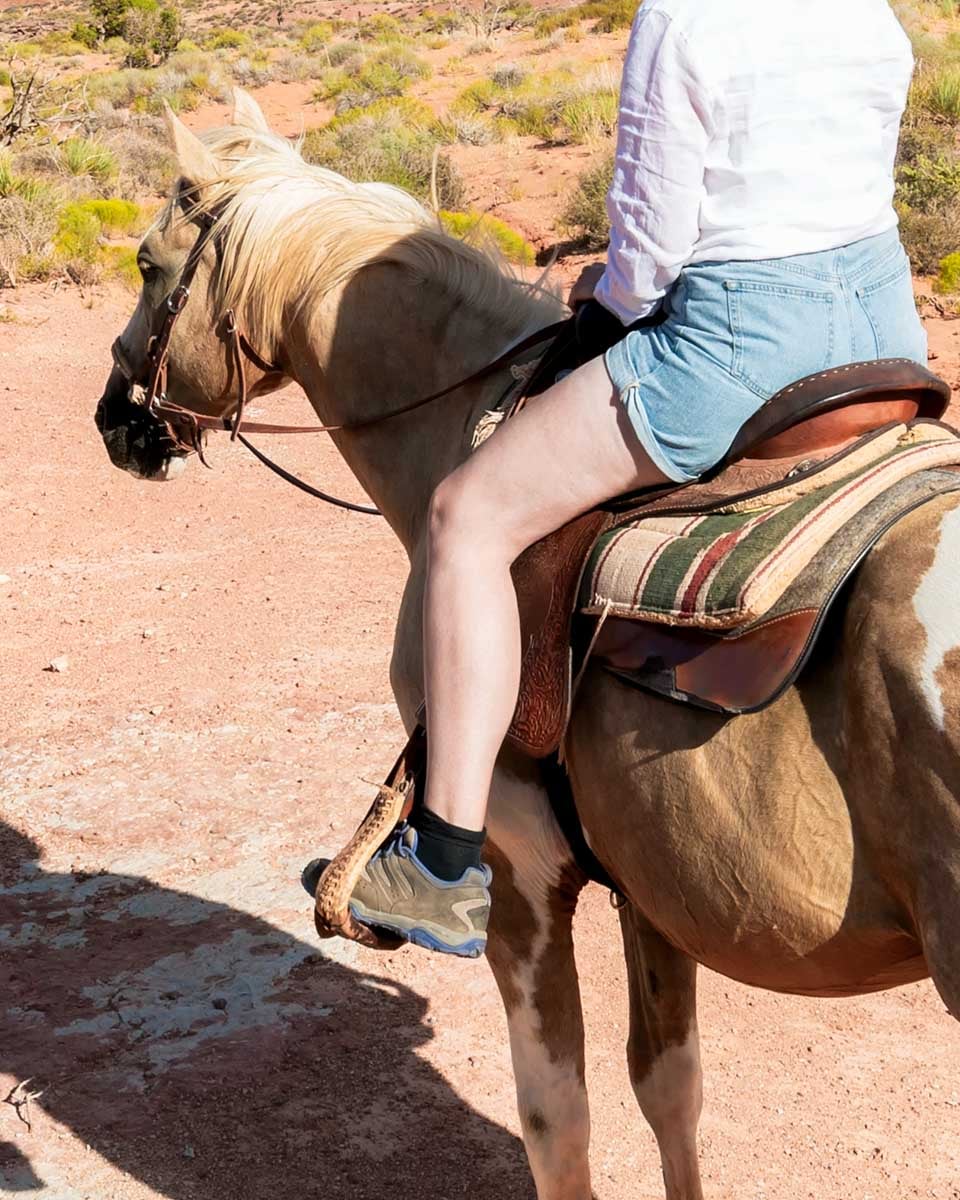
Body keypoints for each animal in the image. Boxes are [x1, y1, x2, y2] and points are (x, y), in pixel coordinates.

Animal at [95, 92, 960, 1200]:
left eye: (147, 264)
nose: (115, 420)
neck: (461, 420)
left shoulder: (522, 875)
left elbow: (559, 1119)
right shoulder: (651, 882)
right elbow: (669, 1088)